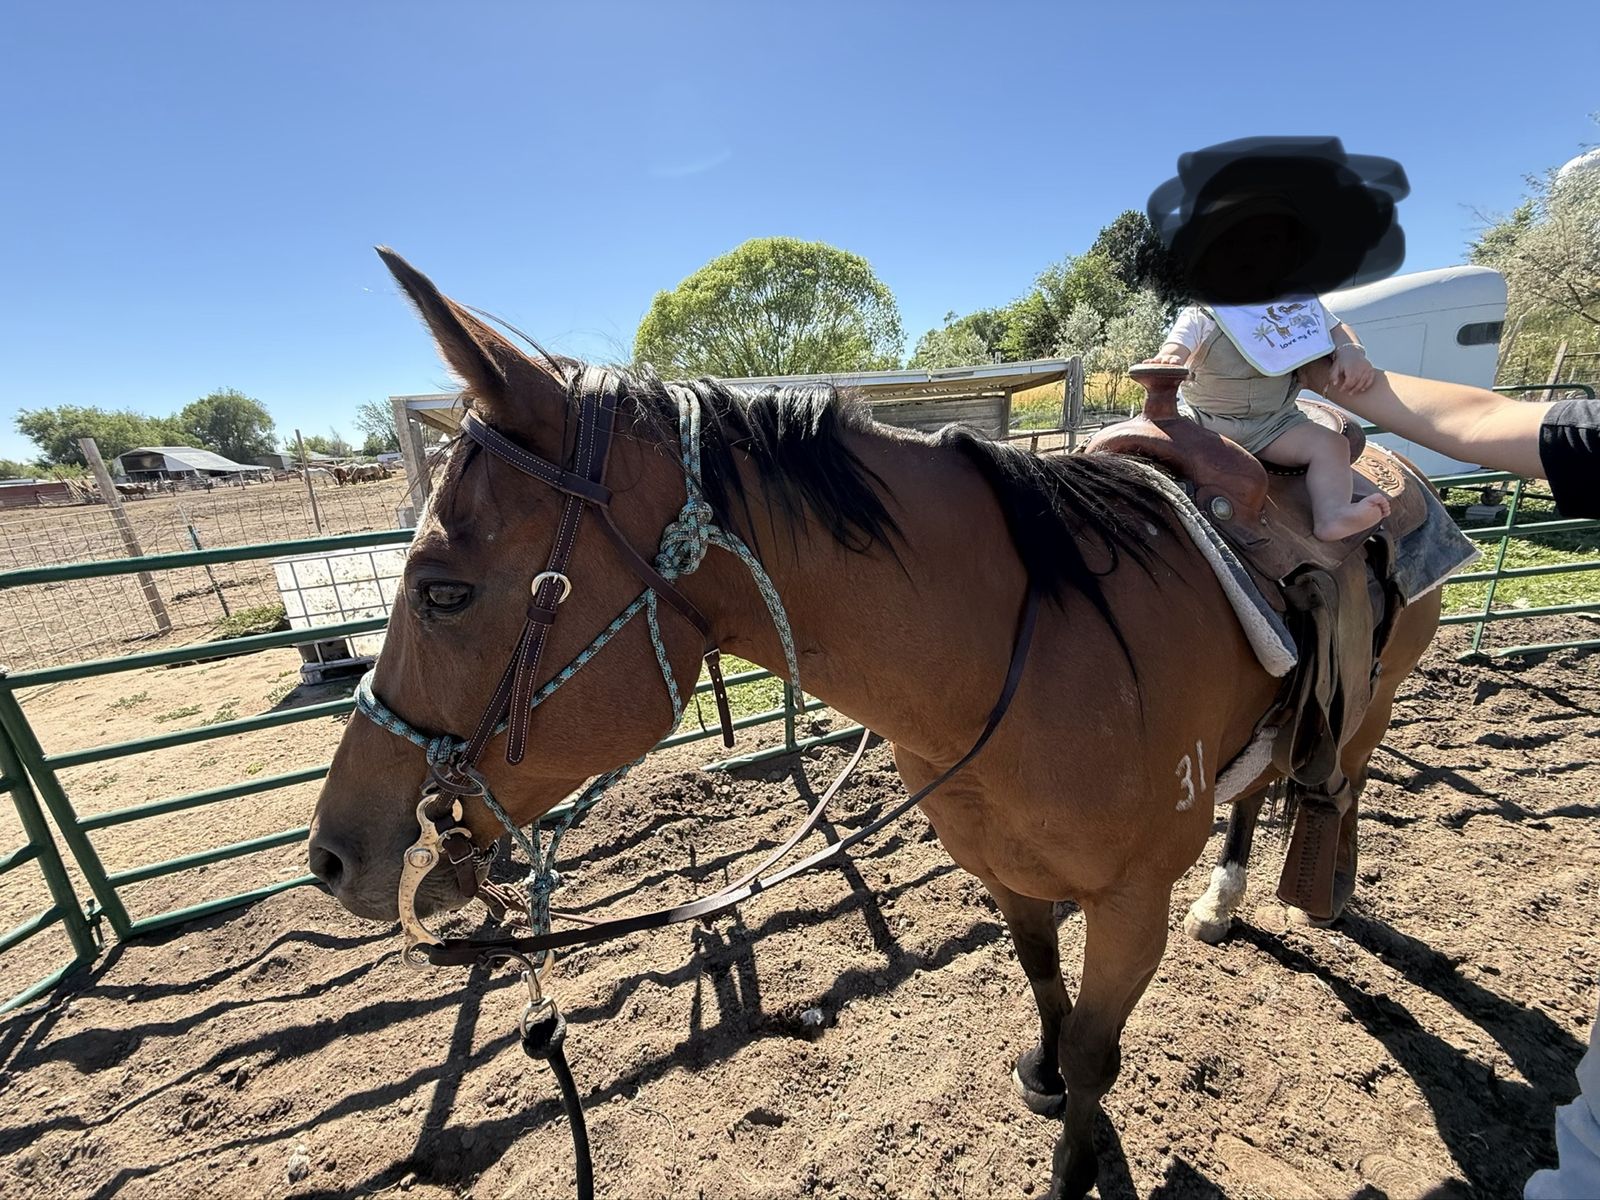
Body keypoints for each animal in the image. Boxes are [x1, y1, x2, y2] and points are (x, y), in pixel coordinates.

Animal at [308, 251, 1441, 1200]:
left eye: (441, 591)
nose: (333, 854)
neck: (1033, 643)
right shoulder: (1004, 869)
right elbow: (1043, 985)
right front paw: (1040, 1072)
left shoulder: (1129, 905)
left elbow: (1095, 1048)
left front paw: (1075, 1156)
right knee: (1258, 792)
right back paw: (1229, 897)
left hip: (1370, 705)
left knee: (1336, 780)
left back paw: (1311, 882)